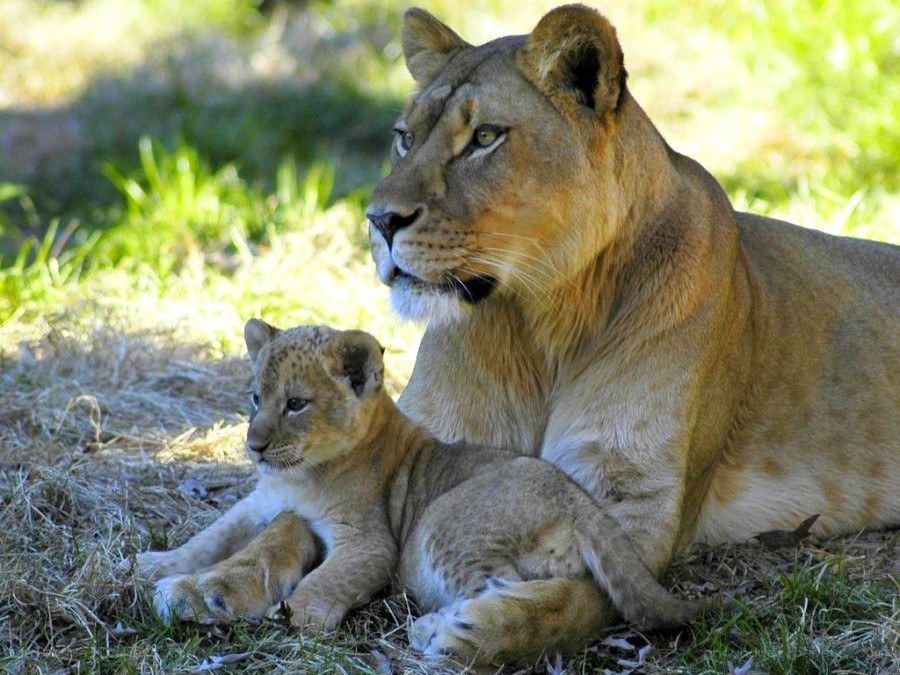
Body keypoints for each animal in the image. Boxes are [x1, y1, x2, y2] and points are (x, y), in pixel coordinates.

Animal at [138, 320, 700, 663]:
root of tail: (581, 503)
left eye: (296, 404)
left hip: (441, 524)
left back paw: (442, 631)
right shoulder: (262, 503)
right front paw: (155, 565)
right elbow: (212, 536)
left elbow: (324, 580)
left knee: (511, 587)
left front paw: (303, 615)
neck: (298, 476)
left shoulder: (371, 542)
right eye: (255, 398)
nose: (253, 446)